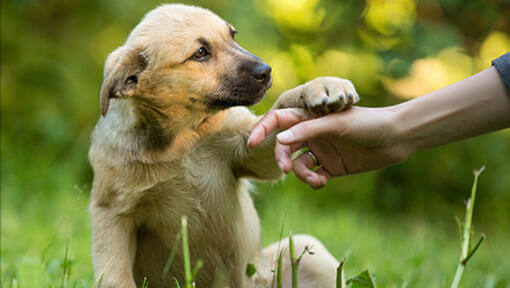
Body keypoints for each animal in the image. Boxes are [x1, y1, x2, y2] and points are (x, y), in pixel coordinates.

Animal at [87, 4, 358, 288]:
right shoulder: (112, 212)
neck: (182, 140)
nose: (266, 71)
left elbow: (281, 106)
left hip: (307, 253)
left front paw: (321, 86)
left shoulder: (249, 148)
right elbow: (116, 276)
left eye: (232, 35)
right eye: (200, 53)